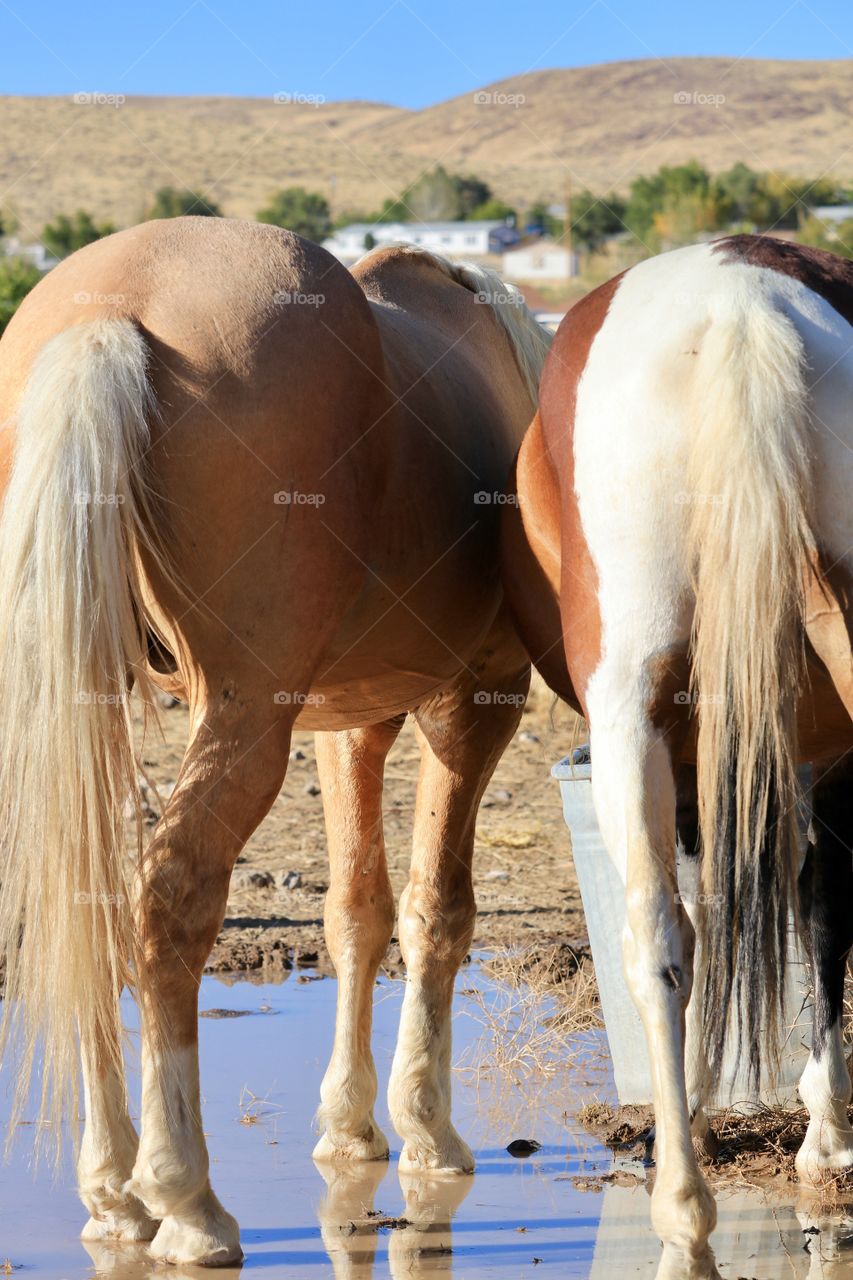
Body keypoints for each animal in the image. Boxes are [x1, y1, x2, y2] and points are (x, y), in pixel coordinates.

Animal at [0, 215, 545, 1264]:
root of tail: (111, 310)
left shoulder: (347, 722)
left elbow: (356, 913)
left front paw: (351, 1126)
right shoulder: (473, 704)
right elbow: (438, 912)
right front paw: (427, 1132)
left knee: (86, 892)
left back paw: (114, 1193)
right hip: (244, 718)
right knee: (168, 901)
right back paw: (185, 1200)